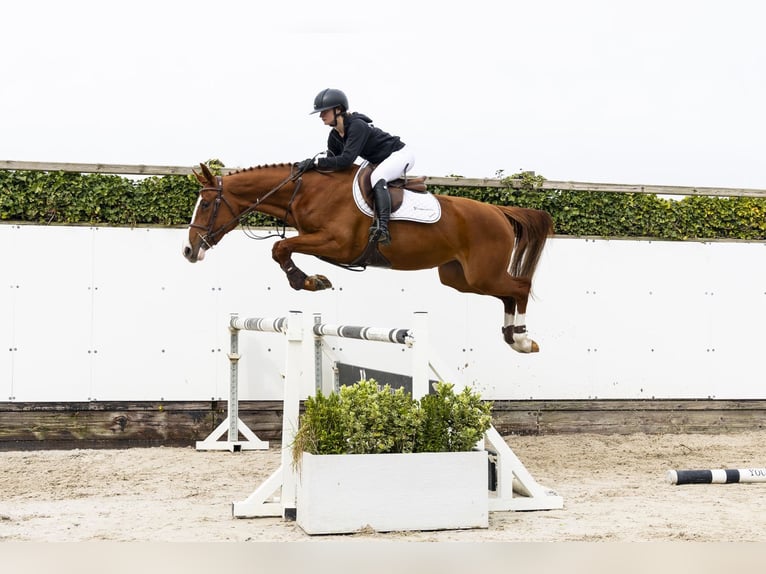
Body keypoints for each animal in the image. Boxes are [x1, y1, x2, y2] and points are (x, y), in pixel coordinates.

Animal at [183, 162, 554, 352]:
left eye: (205, 204)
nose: (188, 250)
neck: (306, 192)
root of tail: (499, 211)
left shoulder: (338, 244)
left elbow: (279, 248)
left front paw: (308, 281)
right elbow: (282, 249)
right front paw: (314, 280)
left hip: (480, 273)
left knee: (519, 287)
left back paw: (523, 339)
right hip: (459, 278)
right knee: (507, 292)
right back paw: (512, 336)